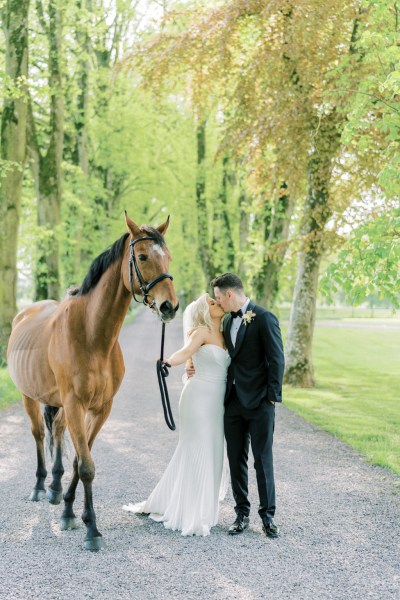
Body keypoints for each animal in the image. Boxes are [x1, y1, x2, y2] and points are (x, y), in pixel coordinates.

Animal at [5, 211, 178, 548]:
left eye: (168, 257)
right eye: (142, 256)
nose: (170, 306)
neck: (91, 335)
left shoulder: (101, 408)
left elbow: (79, 459)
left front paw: (70, 511)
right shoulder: (75, 405)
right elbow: (86, 465)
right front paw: (91, 529)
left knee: (57, 433)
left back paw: (55, 490)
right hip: (29, 397)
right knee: (39, 435)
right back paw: (39, 487)